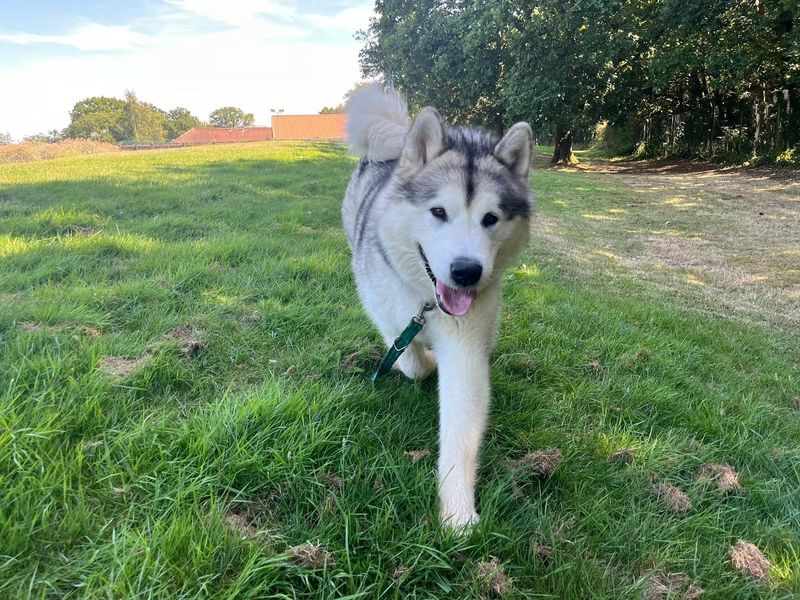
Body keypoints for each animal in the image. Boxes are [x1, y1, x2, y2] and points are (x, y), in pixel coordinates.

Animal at [340, 85, 536, 528]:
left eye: (490, 218)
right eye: (439, 212)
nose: (466, 272)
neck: (428, 304)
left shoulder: (467, 348)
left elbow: (461, 427)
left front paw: (458, 510)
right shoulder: (388, 313)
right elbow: (411, 360)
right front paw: (424, 359)